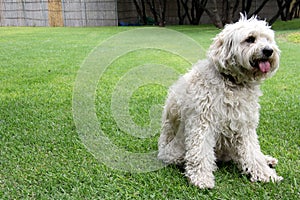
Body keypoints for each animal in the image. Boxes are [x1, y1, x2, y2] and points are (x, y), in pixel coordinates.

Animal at [158, 14, 282, 188]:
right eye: (250, 39)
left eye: (268, 39)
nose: (269, 51)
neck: (232, 83)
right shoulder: (203, 123)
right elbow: (200, 152)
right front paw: (201, 178)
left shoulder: (244, 125)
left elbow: (252, 152)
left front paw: (265, 174)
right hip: (175, 152)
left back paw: (267, 159)